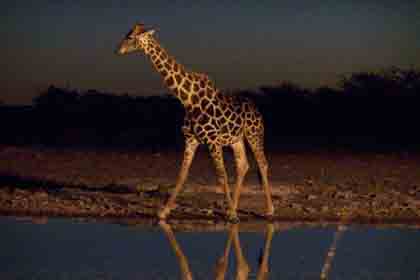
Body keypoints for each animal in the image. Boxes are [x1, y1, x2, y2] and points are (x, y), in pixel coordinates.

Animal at [116, 23, 274, 222]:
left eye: (130, 37)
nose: (118, 50)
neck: (188, 99)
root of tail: (257, 110)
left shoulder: (213, 141)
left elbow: (221, 176)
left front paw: (232, 216)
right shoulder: (191, 139)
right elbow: (182, 175)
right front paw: (163, 212)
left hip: (254, 134)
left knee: (262, 163)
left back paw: (268, 210)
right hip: (236, 139)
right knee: (243, 165)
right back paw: (233, 208)